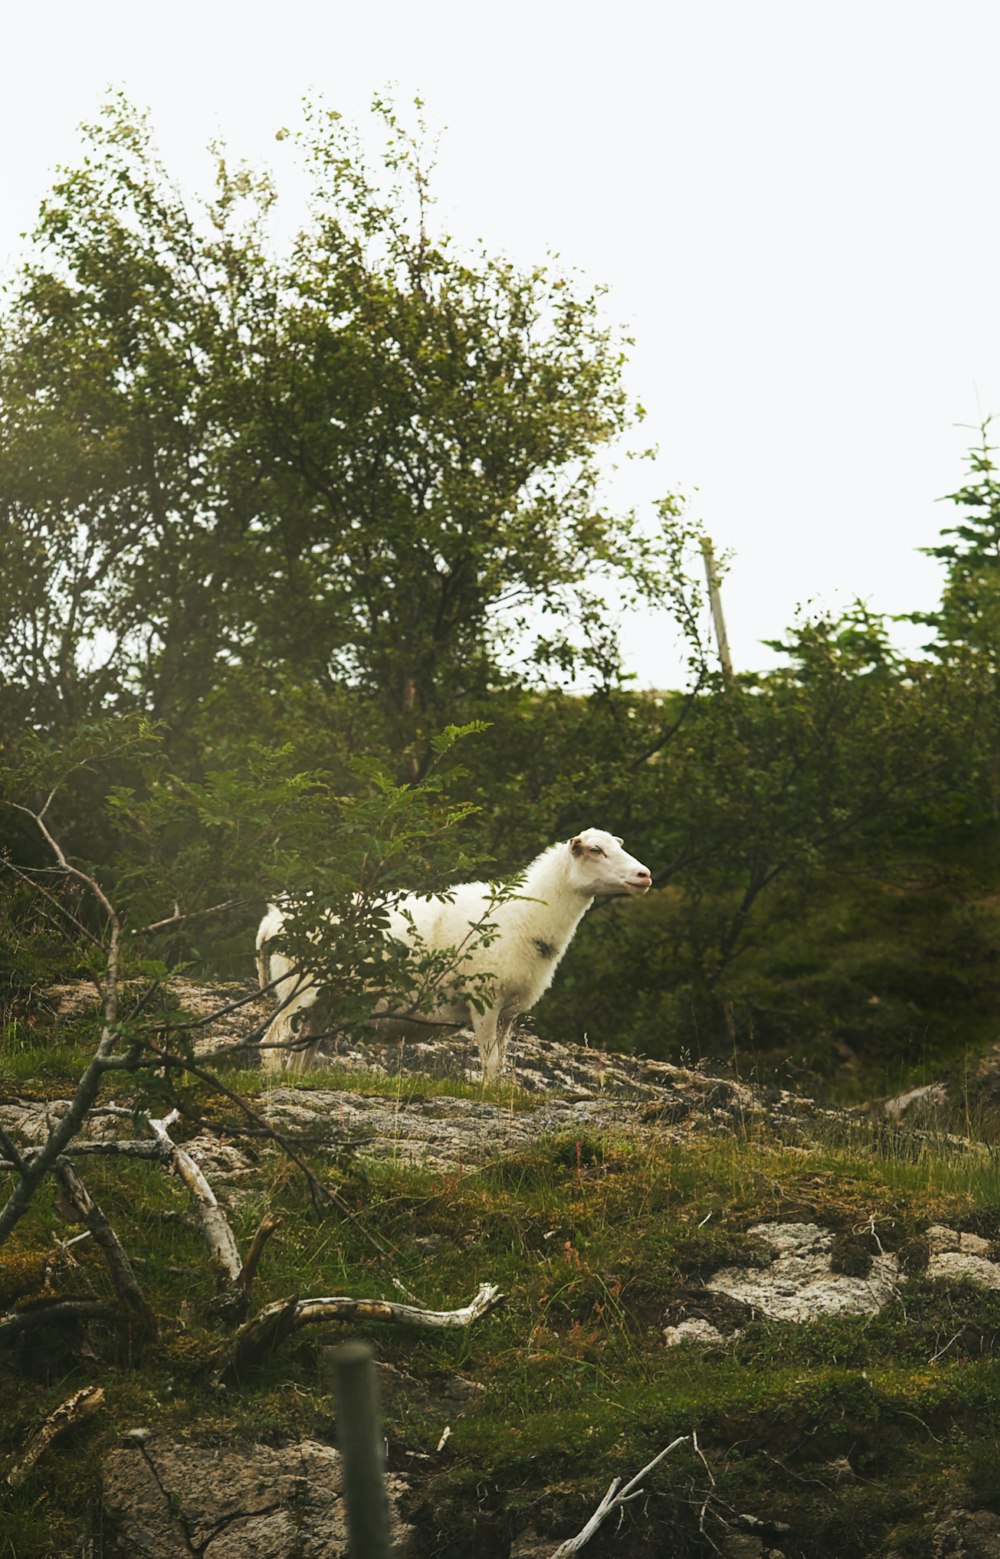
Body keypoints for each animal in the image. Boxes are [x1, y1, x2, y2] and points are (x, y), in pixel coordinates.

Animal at [252, 829, 652, 1085]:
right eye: (595, 850)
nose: (644, 874)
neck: (526, 915)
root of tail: (272, 918)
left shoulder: (509, 1011)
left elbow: (500, 1064)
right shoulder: (485, 1001)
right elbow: (490, 1063)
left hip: (325, 999)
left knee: (301, 1051)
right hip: (297, 986)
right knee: (273, 1041)